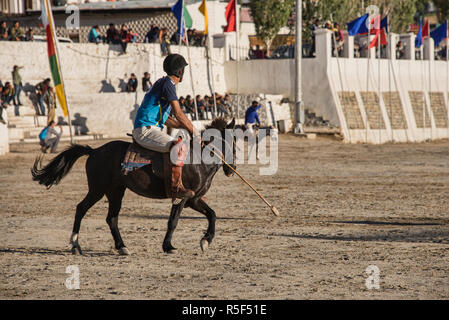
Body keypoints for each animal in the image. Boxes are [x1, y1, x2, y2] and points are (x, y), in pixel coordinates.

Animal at [30, 117, 236, 255]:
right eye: (233, 142)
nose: (231, 170)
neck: (199, 160)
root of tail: (95, 151)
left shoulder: (194, 199)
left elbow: (212, 214)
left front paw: (205, 241)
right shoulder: (182, 197)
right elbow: (173, 221)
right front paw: (168, 246)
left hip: (115, 191)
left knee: (111, 218)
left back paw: (122, 247)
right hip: (97, 190)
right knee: (81, 208)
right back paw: (75, 244)